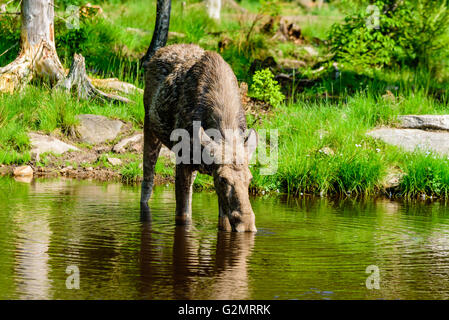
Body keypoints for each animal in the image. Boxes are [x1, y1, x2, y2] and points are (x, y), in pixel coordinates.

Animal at [140, 0, 260, 230]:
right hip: (149, 127)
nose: (247, 224)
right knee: (147, 180)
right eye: (223, 179)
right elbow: (183, 215)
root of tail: (159, 52)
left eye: (250, 179)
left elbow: (223, 220)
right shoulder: (183, 162)